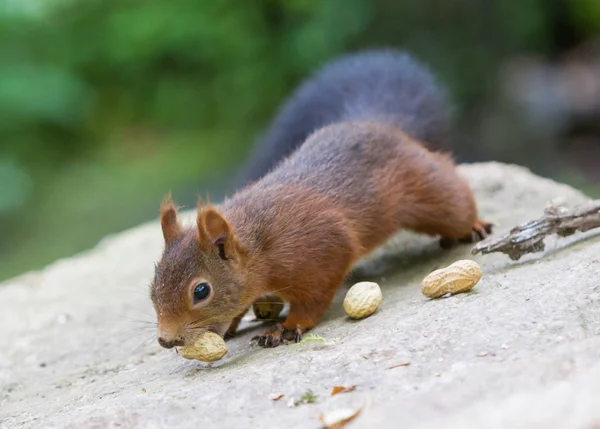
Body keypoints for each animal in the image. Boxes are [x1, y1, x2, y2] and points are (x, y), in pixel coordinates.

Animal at [150, 49, 492, 348]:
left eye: (201, 291)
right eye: (152, 288)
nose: (166, 341)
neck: (261, 244)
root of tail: (381, 123)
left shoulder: (322, 250)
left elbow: (313, 298)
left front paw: (287, 327)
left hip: (427, 189)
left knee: (453, 195)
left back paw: (473, 225)